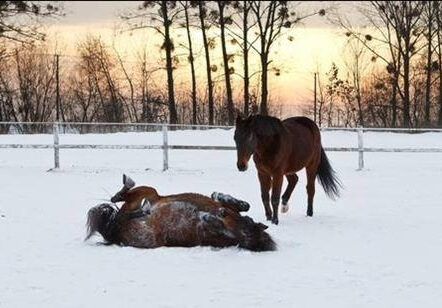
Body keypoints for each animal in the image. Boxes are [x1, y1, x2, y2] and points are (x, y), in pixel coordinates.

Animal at [84, 174, 274, 251]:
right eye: (248, 222)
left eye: (247, 229)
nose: (208, 216)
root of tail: (117, 232)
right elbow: (242, 205)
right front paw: (223, 197)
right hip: (151, 194)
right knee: (122, 200)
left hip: (143, 209)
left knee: (122, 205)